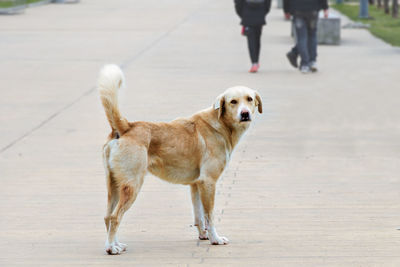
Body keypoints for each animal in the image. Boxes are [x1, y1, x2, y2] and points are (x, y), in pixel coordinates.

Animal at [98, 65, 262, 255]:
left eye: (249, 99)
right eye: (233, 102)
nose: (245, 114)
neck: (220, 124)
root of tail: (125, 126)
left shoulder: (196, 185)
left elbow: (199, 216)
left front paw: (203, 235)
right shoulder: (208, 182)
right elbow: (210, 216)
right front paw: (215, 238)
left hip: (114, 185)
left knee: (107, 216)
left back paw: (115, 244)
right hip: (132, 185)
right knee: (115, 217)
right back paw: (111, 248)